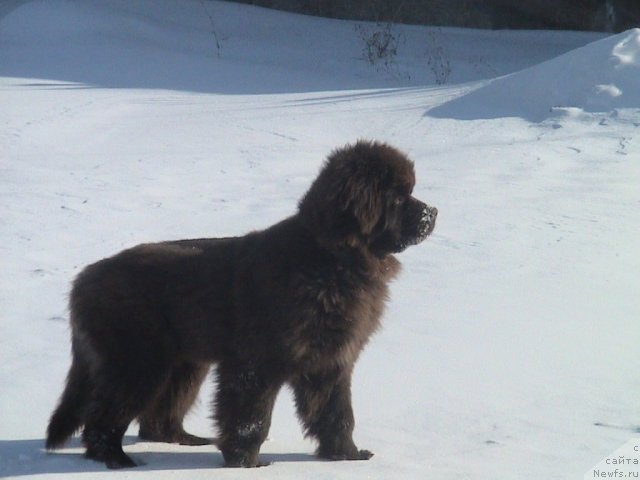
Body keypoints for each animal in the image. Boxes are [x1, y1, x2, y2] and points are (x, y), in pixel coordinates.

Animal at [43, 140, 436, 468]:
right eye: (397, 198)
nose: (432, 212)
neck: (332, 259)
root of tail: (83, 279)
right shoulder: (255, 362)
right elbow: (251, 417)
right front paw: (247, 462)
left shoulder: (331, 360)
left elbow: (336, 413)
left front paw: (347, 457)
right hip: (137, 360)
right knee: (103, 417)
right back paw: (117, 460)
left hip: (184, 363)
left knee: (156, 419)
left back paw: (185, 440)